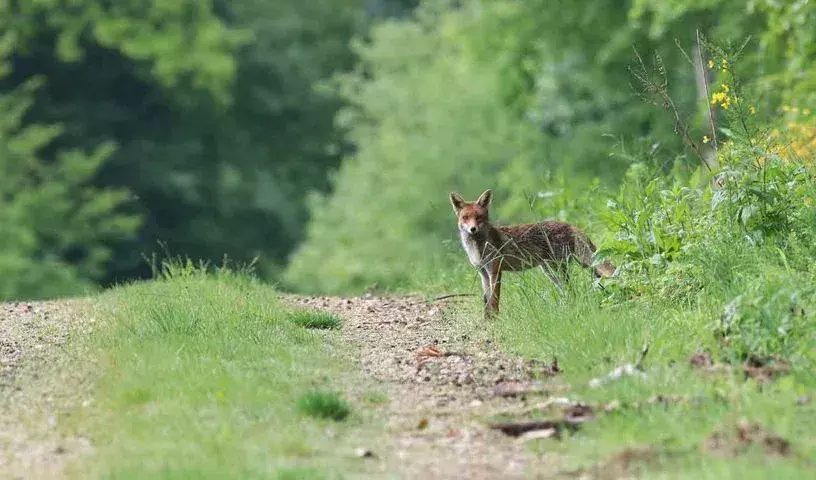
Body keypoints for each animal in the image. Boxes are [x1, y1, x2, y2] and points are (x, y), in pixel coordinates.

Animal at [450, 188, 616, 318]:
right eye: (465, 218)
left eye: (478, 217)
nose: (472, 229)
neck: (478, 247)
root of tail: (568, 224)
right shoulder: (483, 273)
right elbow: (486, 301)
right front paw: (487, 320)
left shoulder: (495, 271)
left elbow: (494, 301)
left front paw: (496, 320)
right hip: (551, 271)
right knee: (569, 291)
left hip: (558, 269)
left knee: (572, 290)